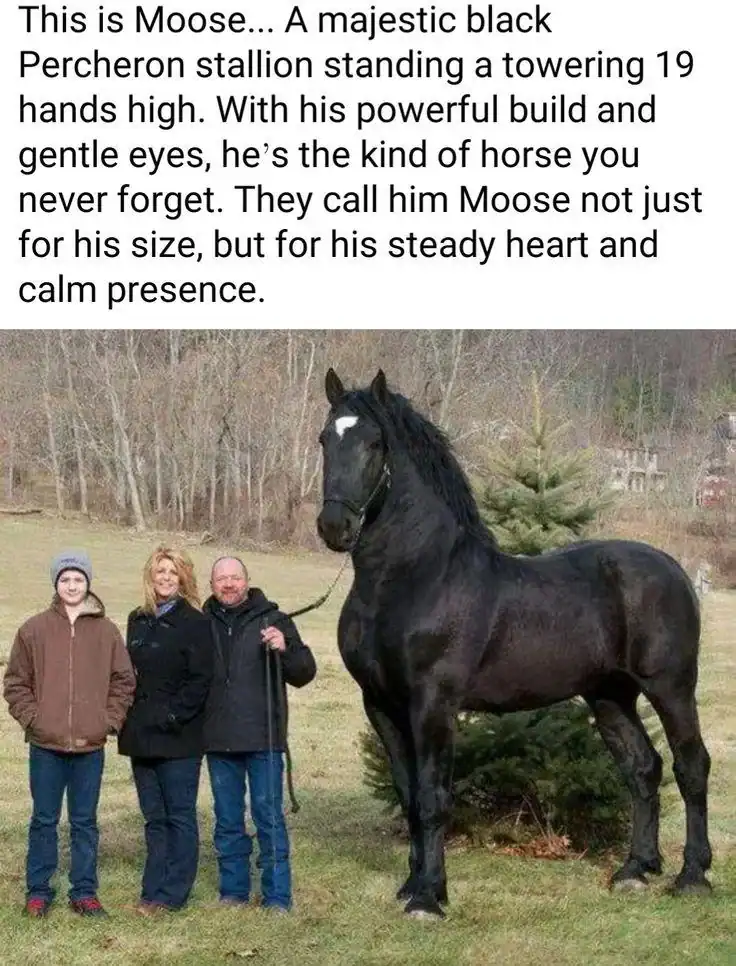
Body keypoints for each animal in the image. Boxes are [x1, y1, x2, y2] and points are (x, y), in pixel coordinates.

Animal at [316, 368, 712, 920]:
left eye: (375, 443)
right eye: (325, 439)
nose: (335, 526)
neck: (414, 577)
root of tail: (674, 569)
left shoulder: (433, 704)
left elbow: (434, 797)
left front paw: (429, 898)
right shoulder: (381, 705)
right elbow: (409, 795)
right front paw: (413, 884)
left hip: (671, 687)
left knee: (691, 766)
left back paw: (692, 875)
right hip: (610, 696)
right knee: (643, 769)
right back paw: (634, 870)